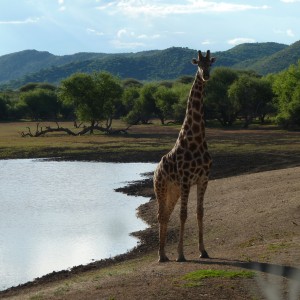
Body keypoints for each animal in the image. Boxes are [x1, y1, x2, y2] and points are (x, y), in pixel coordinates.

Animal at [155, 49, 216, 262]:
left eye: (211, 63)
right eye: (198, 63)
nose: (206, 75)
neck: (196, 137)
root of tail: (155, 171)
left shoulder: (203, 179)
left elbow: (199, 212)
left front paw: (203, 251)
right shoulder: (186, 180)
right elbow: (183, 215)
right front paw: (181, 254)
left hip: (172, 190)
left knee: (166, 214)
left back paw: (164, 254)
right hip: (161, 188)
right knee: (161, 215)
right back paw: (161, 255)